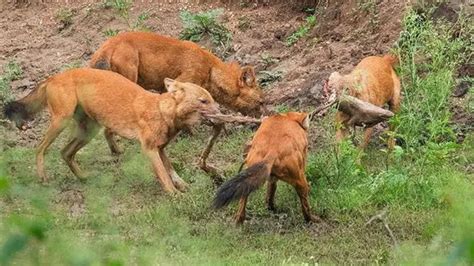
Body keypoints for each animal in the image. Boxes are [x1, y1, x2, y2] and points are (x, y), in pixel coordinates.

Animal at [4, 68, 218, 193]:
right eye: (203, 101)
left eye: (212, 99)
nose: (220, 110)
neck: (161, 112)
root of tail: (53, 76)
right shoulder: (149, 149)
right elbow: (164, 176)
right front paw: (175, 196)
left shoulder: (160, 148)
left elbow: (171, 170)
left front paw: (183, 186)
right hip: (61, 122)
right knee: (40, 148)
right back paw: (43, 178)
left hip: (89, 131)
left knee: (64, 153)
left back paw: (84, 178)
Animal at [89, 31, 266, 183]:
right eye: (261, 102)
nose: (264, 119)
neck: (210, 70)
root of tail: (106, 47)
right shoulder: (181, 83)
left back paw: (115, 150)